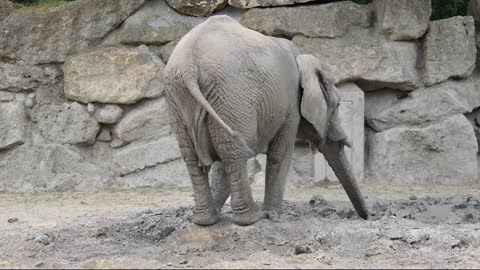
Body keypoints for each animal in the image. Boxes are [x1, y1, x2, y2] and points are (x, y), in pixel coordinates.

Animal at [163, 14, 370, 226]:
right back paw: (252, 218)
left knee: (196, 157)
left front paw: (219, 214)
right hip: (232, 95)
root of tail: (188, 67)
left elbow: (221, 166)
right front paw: (272, 216)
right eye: (337, 105)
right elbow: (281, 153)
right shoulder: (291, 104)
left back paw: (205, 220)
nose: (367, 217)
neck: (302, 58)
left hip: (182, 99)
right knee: (235, 153)